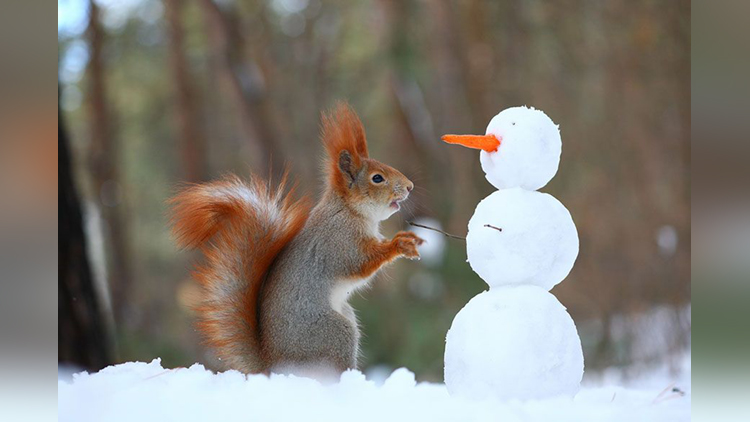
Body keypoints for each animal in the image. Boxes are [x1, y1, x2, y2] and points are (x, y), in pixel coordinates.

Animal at [173, 102, 426, 380]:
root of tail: (275, 367)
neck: (350, 211)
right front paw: (399, 244)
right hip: (334, 334)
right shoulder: (339, 242)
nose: (410, 186)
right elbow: (360, 263)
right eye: (377, 178)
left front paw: (409, 239)